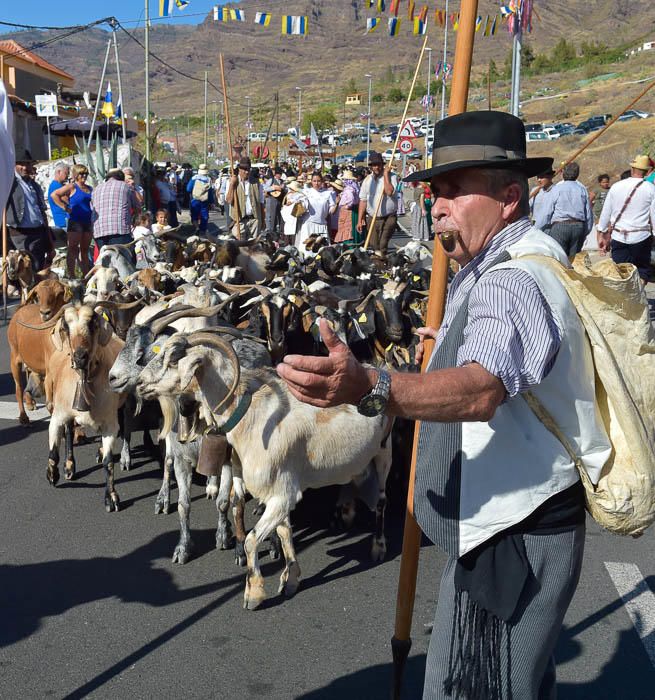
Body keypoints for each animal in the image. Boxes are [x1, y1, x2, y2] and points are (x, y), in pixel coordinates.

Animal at [136, 330, 392, 608]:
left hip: (384, 452)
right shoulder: (278, 493)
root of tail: (377, 368)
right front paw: (291, 580)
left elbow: (250, 541)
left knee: (381, 501)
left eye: (173, 360)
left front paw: (254, 593)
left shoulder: (283, 495)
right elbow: (284, 532)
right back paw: (346, 511)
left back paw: (378, 547)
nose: (139, 383)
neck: (250, 416)